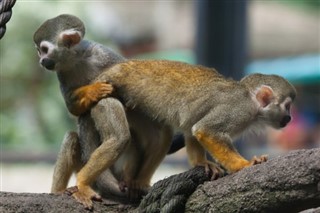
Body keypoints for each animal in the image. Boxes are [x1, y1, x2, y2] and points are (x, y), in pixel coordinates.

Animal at [33, 14, 188, 209]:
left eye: (44, 50)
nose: (41, 60)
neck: (75, 58)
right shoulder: (61, 72)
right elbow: (73, 108)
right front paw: (93, 91)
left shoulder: (102, 53)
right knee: (76, 135)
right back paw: (59, 191)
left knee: (159, 132)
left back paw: (136, 183)